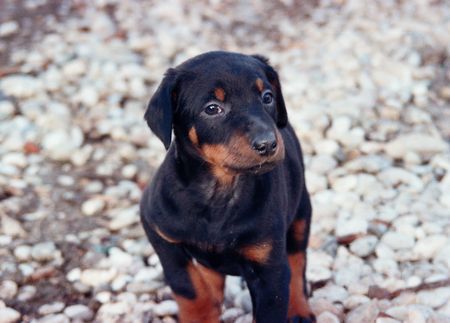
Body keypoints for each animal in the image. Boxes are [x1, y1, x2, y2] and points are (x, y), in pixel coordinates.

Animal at [140, 52, 312, 322]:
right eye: (212, 108)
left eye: (267, 97)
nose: (268, 144)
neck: (219, 191)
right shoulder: (156, 228)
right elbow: (187, 285)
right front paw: (201, 314)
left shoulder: (270, 273)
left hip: (301, 212)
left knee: (297, 260)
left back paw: (299, 310)